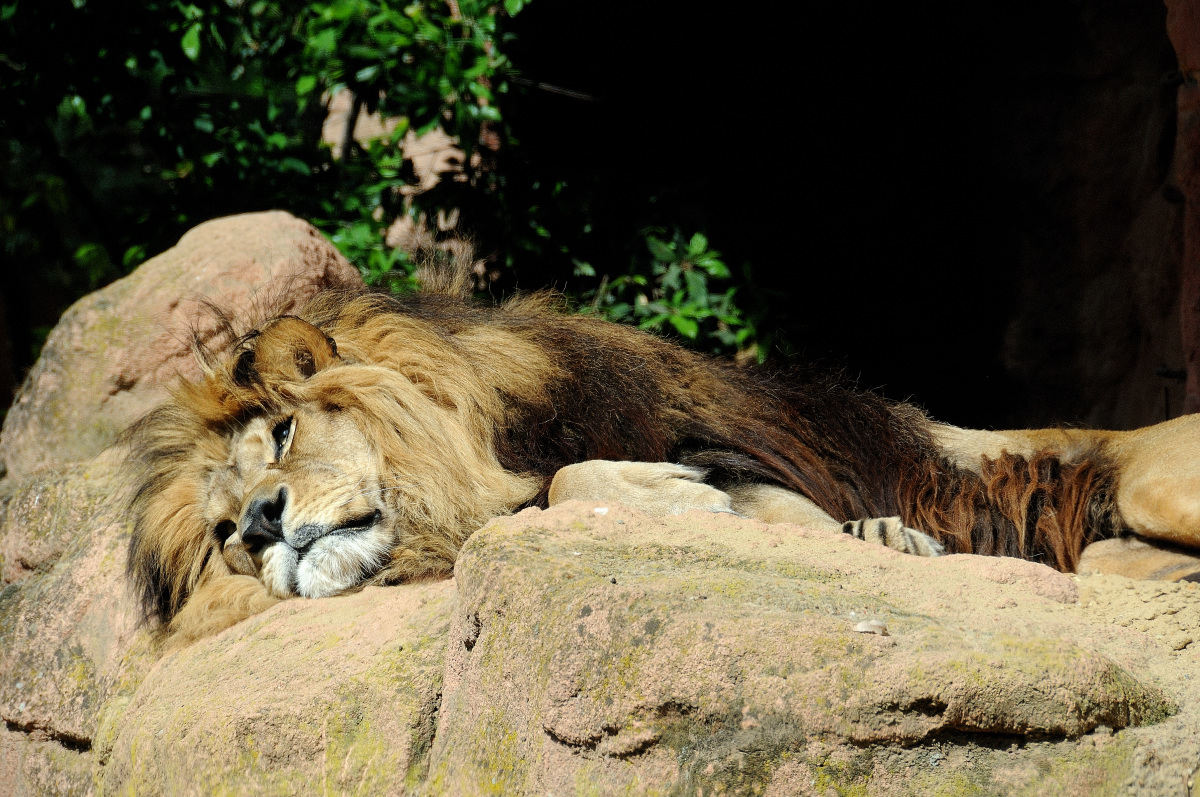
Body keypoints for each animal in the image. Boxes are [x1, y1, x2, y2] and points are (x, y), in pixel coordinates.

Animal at [123, 269, 1200, 646]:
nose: (263, 523)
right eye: (223, 533)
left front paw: (672, 495)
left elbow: (579, 476)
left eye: (283, 434)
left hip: (1157, 480)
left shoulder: (740, 455)